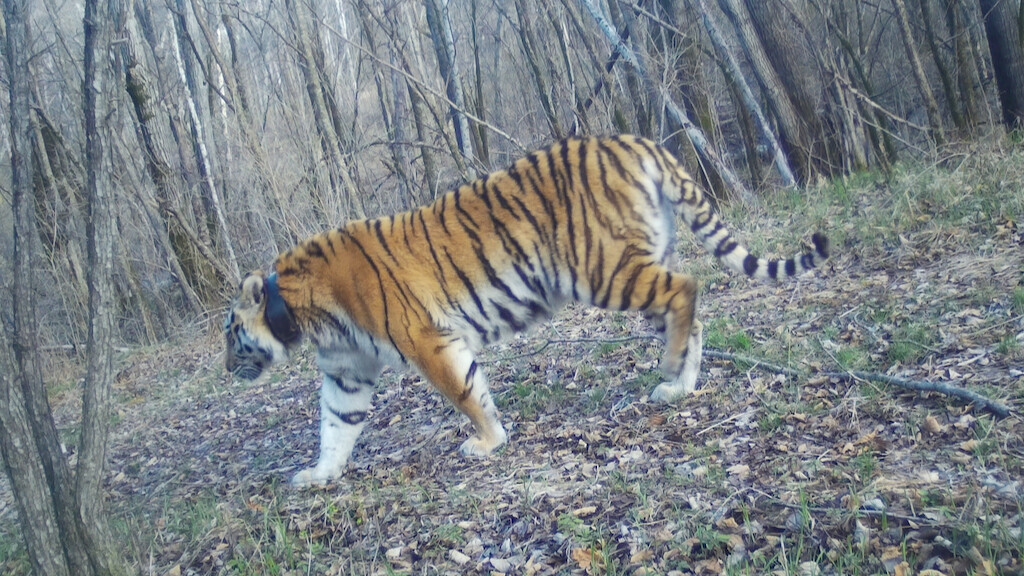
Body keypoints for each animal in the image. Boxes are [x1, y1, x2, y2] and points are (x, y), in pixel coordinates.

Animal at [222, 134, 823, 483]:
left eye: (230, 334)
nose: (226, 368)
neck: (302, 314)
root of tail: (630, 139)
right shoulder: (347, 371)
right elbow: (336, 424)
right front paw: (318, 475)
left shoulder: (426, 339)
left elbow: (465, 393)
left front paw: (487, 443)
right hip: (636, 266)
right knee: (688, 312)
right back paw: (679, 386)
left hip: (604, 270)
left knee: (688, 288)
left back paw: (673, 370)